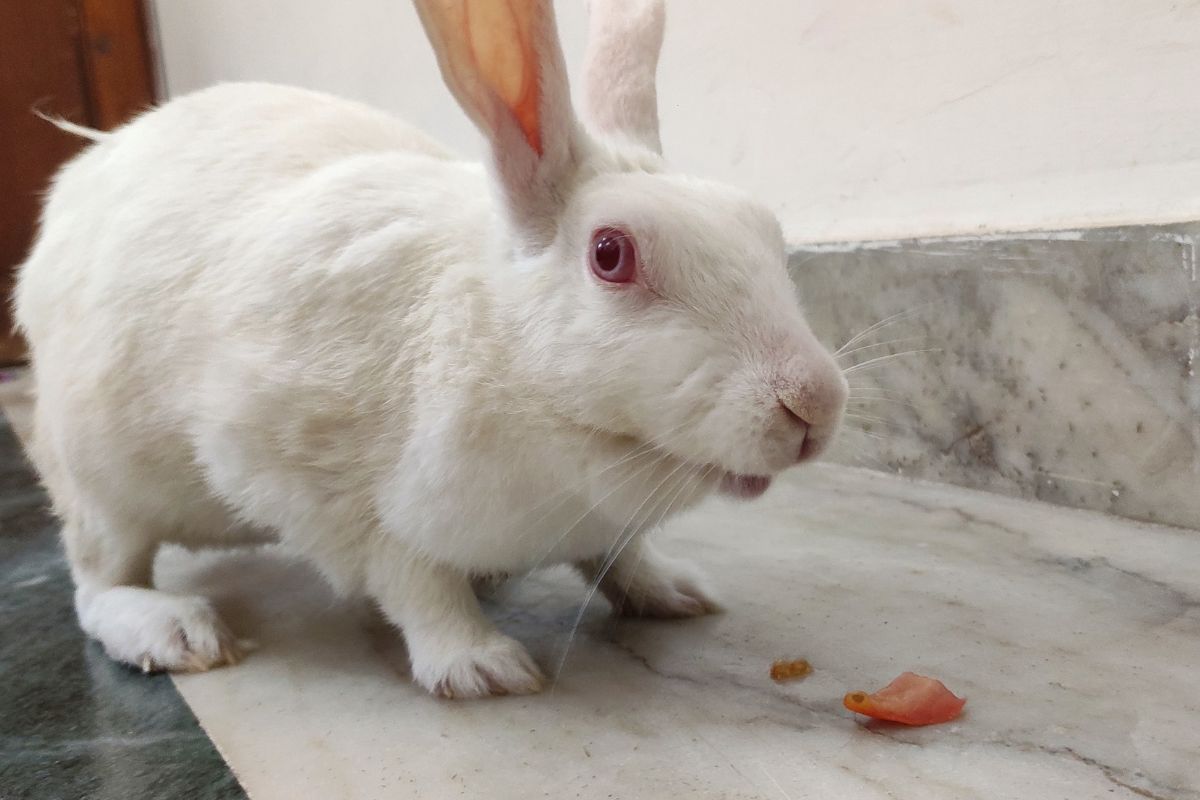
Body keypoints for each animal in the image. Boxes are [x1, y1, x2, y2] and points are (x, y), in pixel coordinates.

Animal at [13, 0, 846, 699]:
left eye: (765, 227)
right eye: (611, 254)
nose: (815, 406)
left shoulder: (598, 526)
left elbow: (620, 558)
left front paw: (673, 591)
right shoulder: (313, 480)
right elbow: (411, 577)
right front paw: (481, 665)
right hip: (100, 486)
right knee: (96, 585)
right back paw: (175, 630)